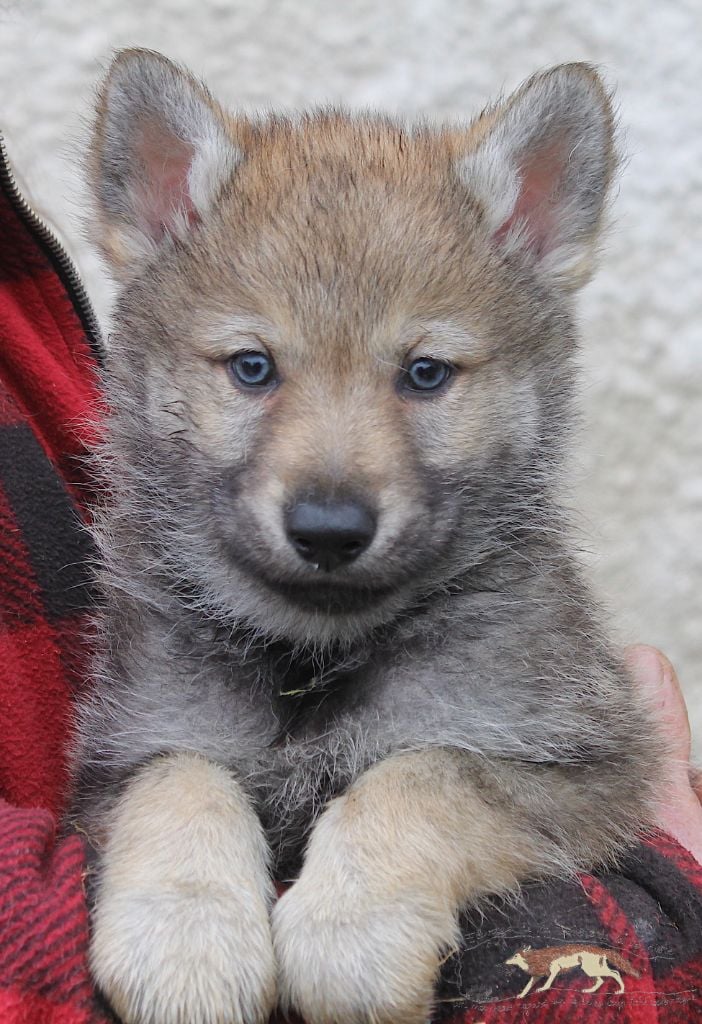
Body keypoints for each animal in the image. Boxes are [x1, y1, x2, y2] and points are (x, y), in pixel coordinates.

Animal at [70, 51, 659, 1024]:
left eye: (424, 374)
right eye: (253, 368)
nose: (329, 530)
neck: (315, 657)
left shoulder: (586, 774)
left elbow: (422, 774)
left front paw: (353, 931)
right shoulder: (127, 750)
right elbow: (185, 781)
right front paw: (185, 936)